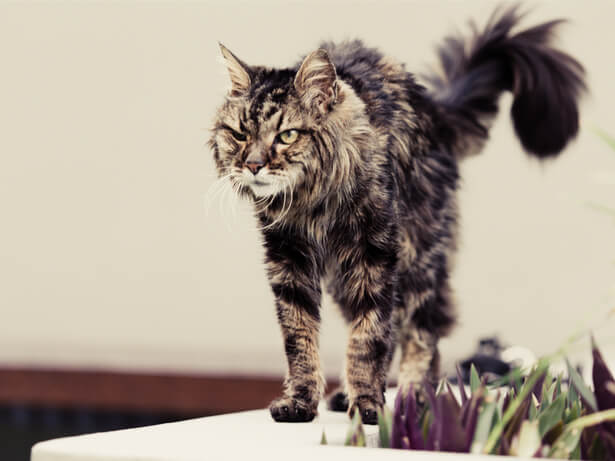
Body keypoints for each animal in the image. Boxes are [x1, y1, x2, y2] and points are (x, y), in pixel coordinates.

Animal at [209, 6, 584, 424]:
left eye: (287, 135)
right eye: (239, 134)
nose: (253, 165)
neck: (313, 201)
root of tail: (434, 108)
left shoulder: (373, 254)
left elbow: (369, 337)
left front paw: (368, 406)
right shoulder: (288, 259)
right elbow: (300, 338)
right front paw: (302, 402)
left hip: (416, 259)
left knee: (422, 334)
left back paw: (414, 398)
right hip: (346, 279)